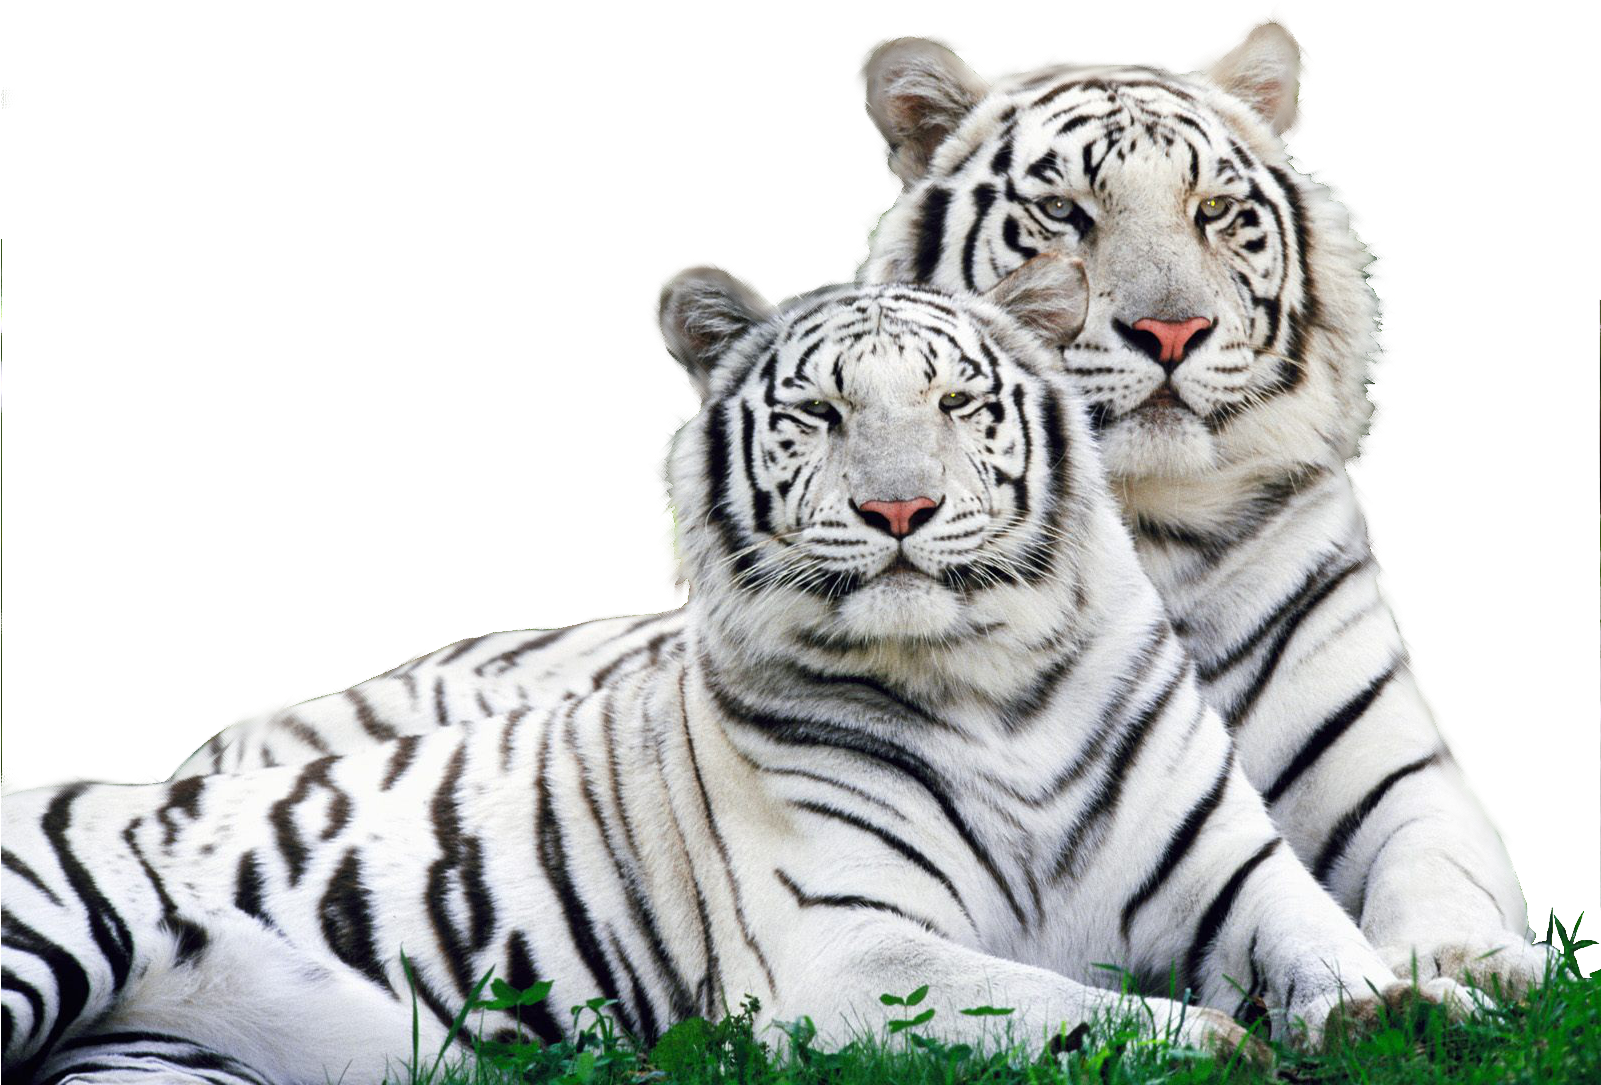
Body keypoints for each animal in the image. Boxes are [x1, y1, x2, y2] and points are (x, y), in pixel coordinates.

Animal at [4, 259, 1469, 1083]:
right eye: (819, 413)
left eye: (957, 403)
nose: (898, 511)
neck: (991, 684)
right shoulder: (841, 946)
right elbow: (1060, 1003)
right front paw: (1216, 1045)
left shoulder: (1231, 871)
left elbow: (1329, 944)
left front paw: (1415, 1008)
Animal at [848, 7, 1560, 995]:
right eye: (1063, 212)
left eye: (1212, 211)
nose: (1171, 330)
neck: (1147, 524)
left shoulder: (1402, 769)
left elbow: (1435, 865)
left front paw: (1468, 966)